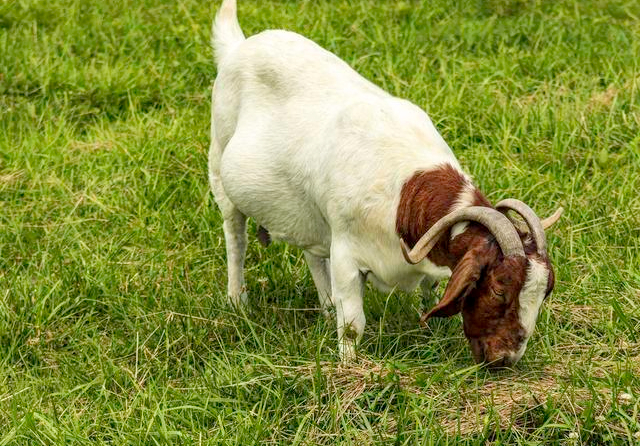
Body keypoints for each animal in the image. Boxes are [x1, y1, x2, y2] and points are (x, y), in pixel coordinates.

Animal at [210, 0, 560, 368]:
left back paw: (325, 309)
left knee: (311, 252)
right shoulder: (347, 253)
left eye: (545, 292)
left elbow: (428, 292)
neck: (404, 195)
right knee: (235, 237)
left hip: (304, 211)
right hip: (219, 162)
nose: (505, 358)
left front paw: (428, 332)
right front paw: (348, 367)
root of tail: (238, 47)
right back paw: (237, 301)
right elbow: (353, 325)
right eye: (498, 288)